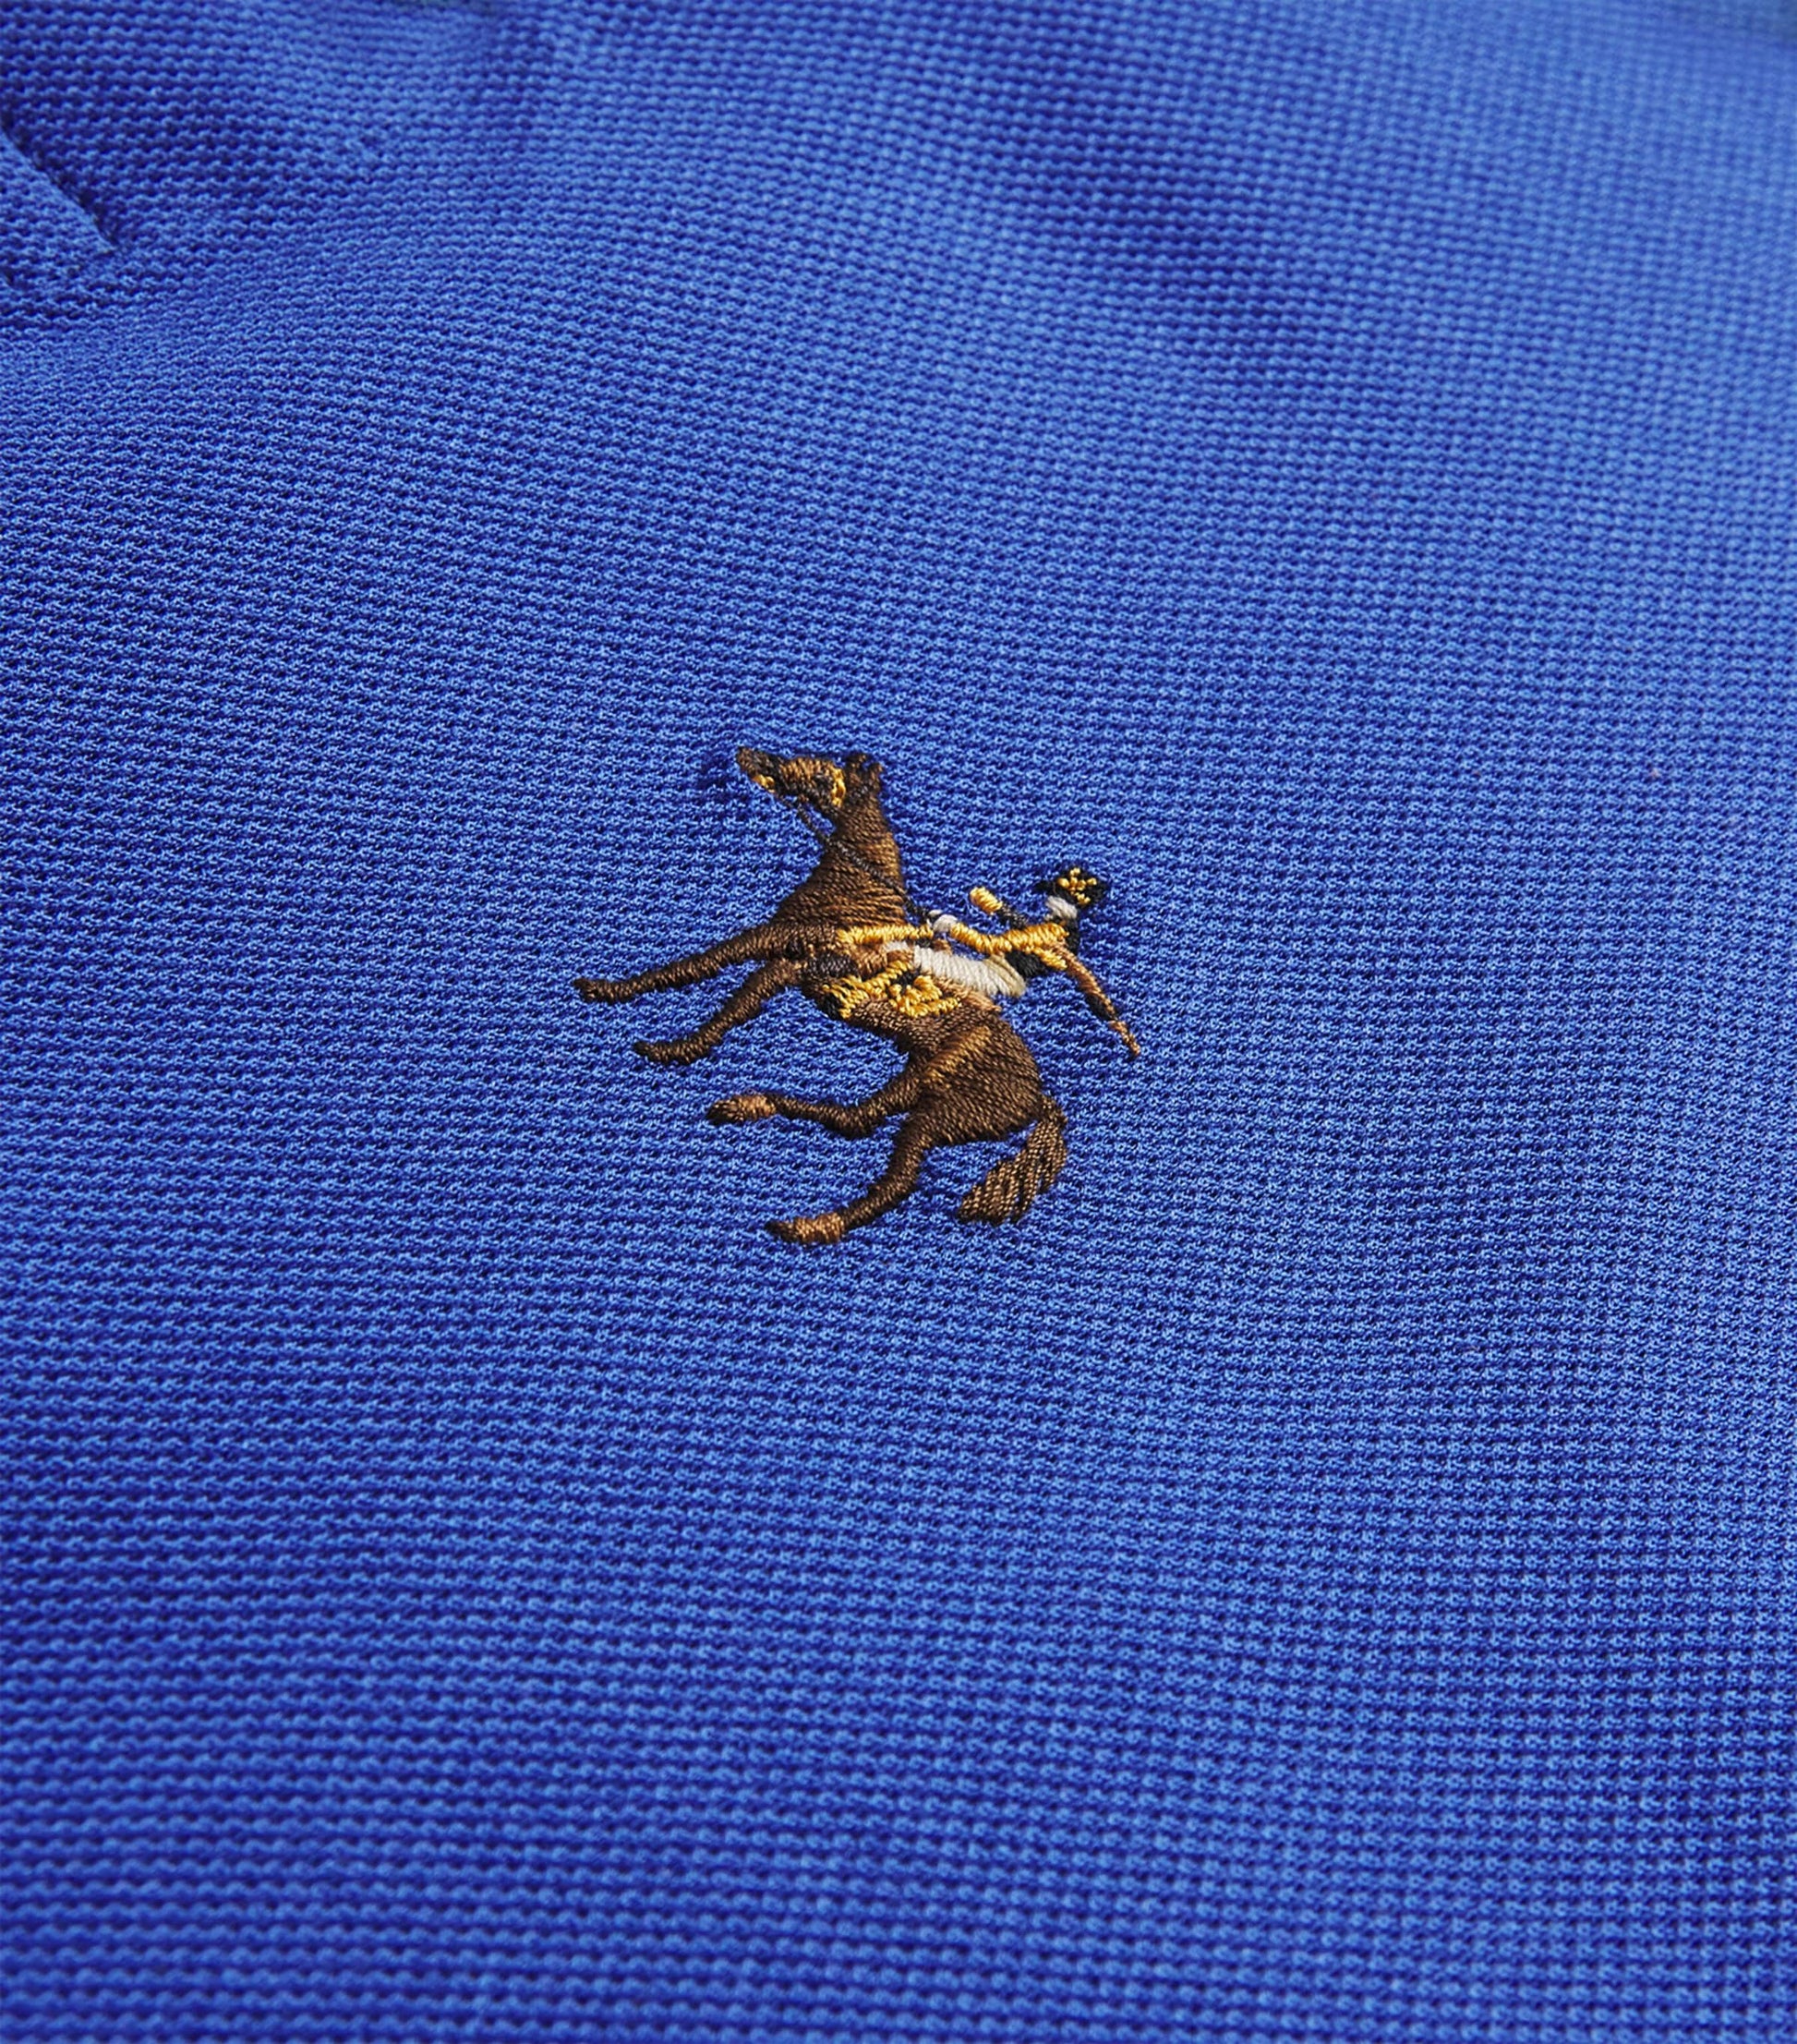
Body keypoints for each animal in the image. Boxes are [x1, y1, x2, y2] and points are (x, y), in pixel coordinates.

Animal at [574, 747, 1072, 1244]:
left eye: (817, 771)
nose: (748, 755)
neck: (856, 883)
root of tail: (1041, 1099)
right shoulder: (788, 961)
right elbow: (735, 1006)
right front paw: (676, 1047)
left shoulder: (776, 941)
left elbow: (698, 965)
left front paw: (610, 991)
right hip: (923, 1079)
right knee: (858, 1121)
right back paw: (750, 1108)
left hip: (951, 1107)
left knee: (896, 1180)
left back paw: (808, 1224)